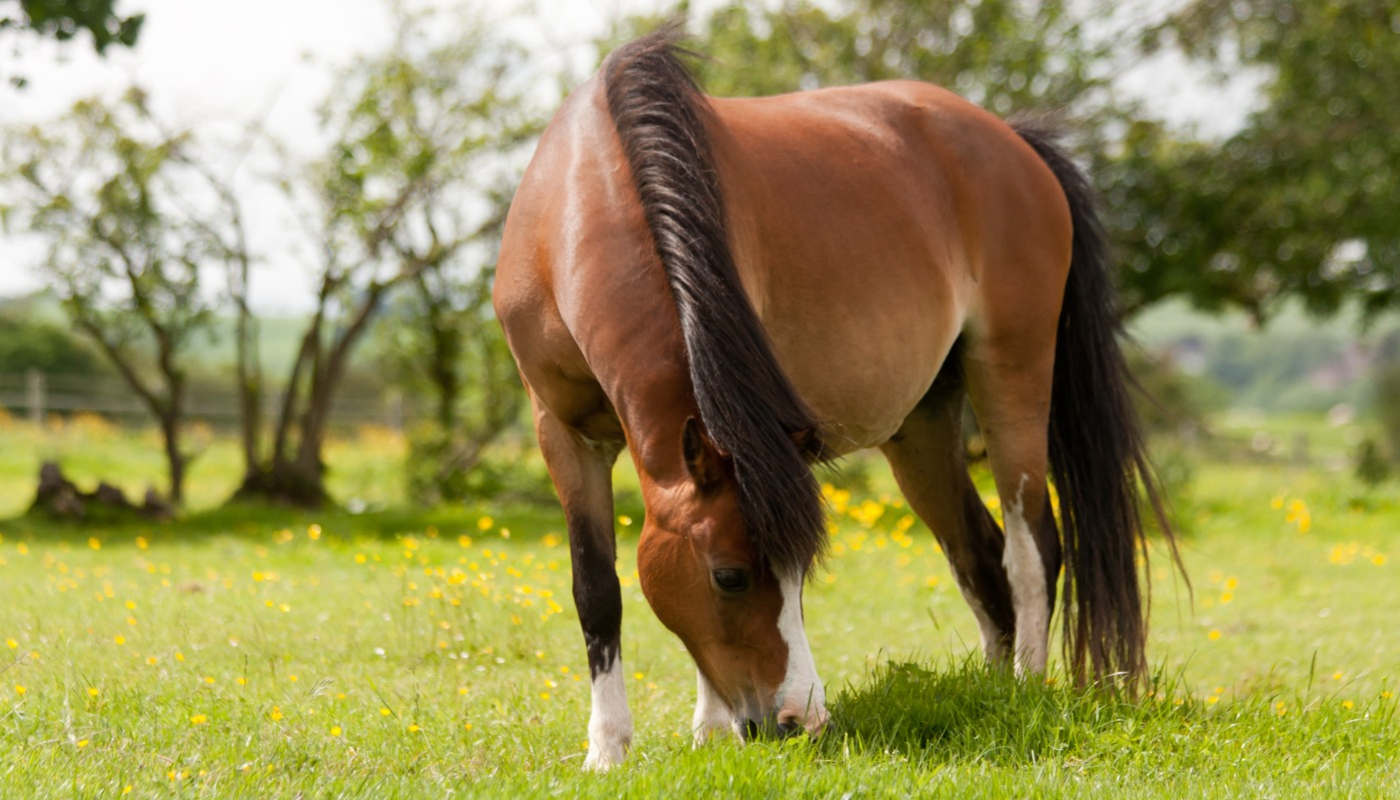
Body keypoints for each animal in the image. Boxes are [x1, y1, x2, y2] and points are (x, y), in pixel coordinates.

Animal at [493, 27, 1174, 770]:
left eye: (800, 578)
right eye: (730, 577)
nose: (800, 721)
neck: (583, 195)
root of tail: (1016, 144)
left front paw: (705, 729)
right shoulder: (562, 432)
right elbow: (597, 589)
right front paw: (610, 749)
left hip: (1014, 376)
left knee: (1030, 550)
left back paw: (1026, 688)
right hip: (920, 429)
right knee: (977, 553)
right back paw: (993, 693)